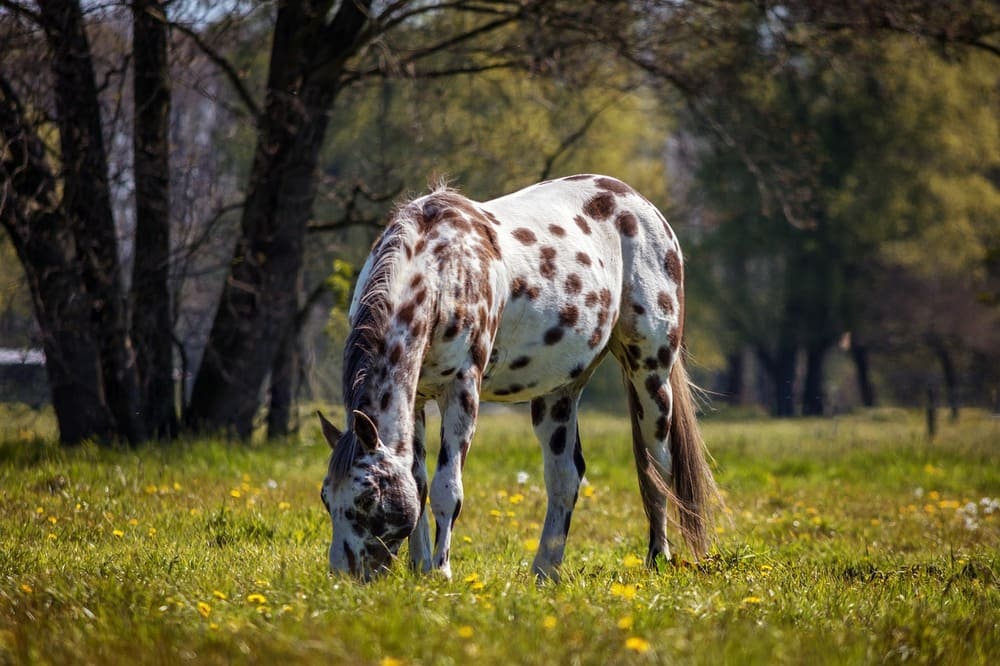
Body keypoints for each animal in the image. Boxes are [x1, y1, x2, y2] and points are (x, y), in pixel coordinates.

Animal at [320, 174, 720, 580]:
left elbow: (448, 489)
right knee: (565, 478)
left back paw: (657, 559)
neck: (441, 268)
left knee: (657, 470)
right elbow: (417, 484)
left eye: (368, 497)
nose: (342, 576)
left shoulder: (462, 390)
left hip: (650, 375)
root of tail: (642, 205)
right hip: (558, 393)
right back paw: (545, 572)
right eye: (326, 497)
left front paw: (440, 573)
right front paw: (420, 569)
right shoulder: (416, 397)